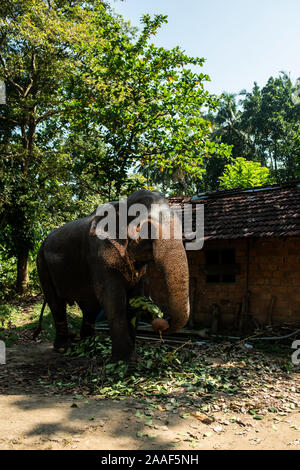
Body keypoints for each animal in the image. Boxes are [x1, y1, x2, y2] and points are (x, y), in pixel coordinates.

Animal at [36, 189, 189, 362]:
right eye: (147, 228)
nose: (163, 319)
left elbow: (135, 297)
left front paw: (133, 358)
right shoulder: (99, 254)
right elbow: (113, 299)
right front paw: (122, 361)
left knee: (90, 307)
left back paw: (88, 344)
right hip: (42, 264)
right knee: (56, 303)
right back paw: (63, 348)